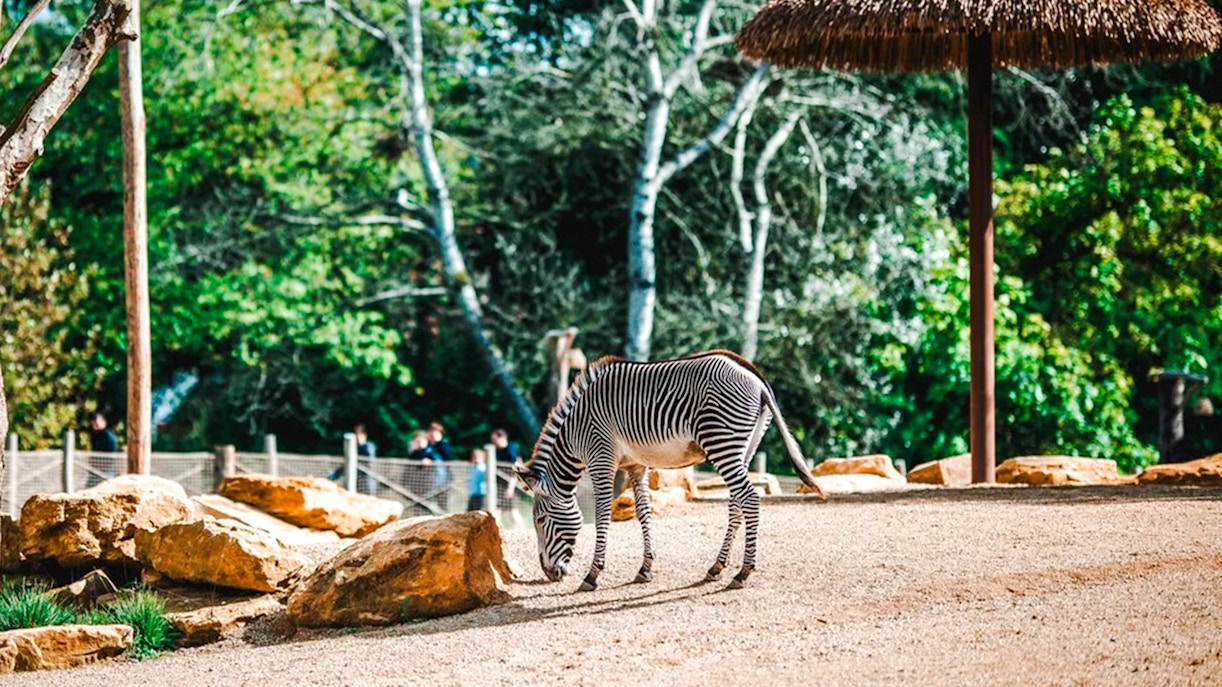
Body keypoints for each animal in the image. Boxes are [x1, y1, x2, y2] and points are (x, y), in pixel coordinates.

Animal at [514, 349, 827, 591]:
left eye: (539, 520)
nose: (549, 574)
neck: (574, 433)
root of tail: (756, 377)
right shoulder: (635, 464)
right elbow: (643, 511)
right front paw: (645, 568)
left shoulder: (601, 457)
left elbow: (602, 514)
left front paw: (593, 574)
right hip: (744, 446)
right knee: (737, 502)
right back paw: (717, 567)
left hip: (722, 443)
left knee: (749, 499)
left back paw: (743, 572)